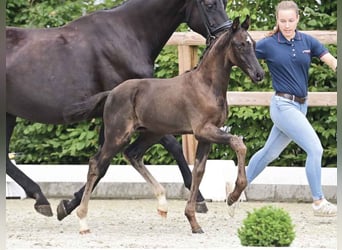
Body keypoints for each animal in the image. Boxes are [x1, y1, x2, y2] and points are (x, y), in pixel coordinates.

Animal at [5, 0, 231, 219]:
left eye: (225, 3)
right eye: (209, 5)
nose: (225, 37)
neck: (127, 34)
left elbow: (102, 162)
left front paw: (69, 204)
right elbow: (170, 146)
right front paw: (199, 198)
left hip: (8, 114)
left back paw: (40, 199)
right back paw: (41, 199)